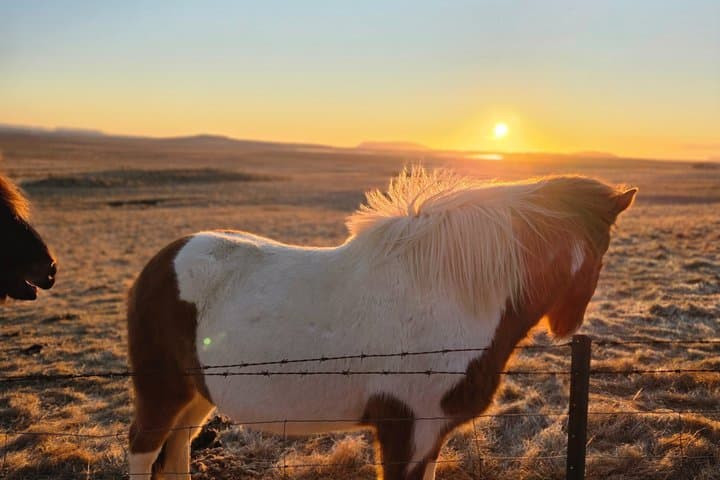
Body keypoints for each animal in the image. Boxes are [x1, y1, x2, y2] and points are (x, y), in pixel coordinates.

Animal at [127, 167, 636, 480]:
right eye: (603, 249)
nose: (568, 325)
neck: (450, 293)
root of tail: (160, 263)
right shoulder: (405, 429)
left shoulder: (430, 433)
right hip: (162, 391)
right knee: (144, 447)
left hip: (195, 395)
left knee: (177, 450)